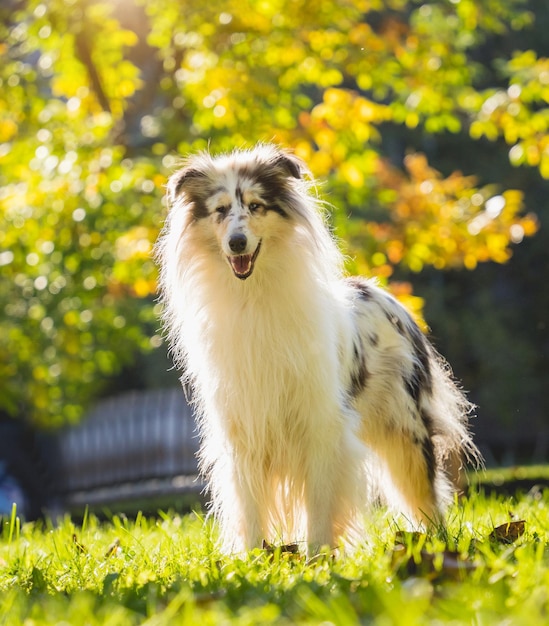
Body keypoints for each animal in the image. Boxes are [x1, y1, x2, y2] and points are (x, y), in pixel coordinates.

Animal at [155, 144, 480, 552]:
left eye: (256, 206)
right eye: (220, 210)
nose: (237, 242)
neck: (253, 297)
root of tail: (387, 296)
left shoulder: (321, 425)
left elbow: (320, 502)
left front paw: (317, 556)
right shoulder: (243, 430)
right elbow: (250, 508)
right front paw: (252, 558)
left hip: (406, 428)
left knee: (424, 492)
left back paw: (435, 541)